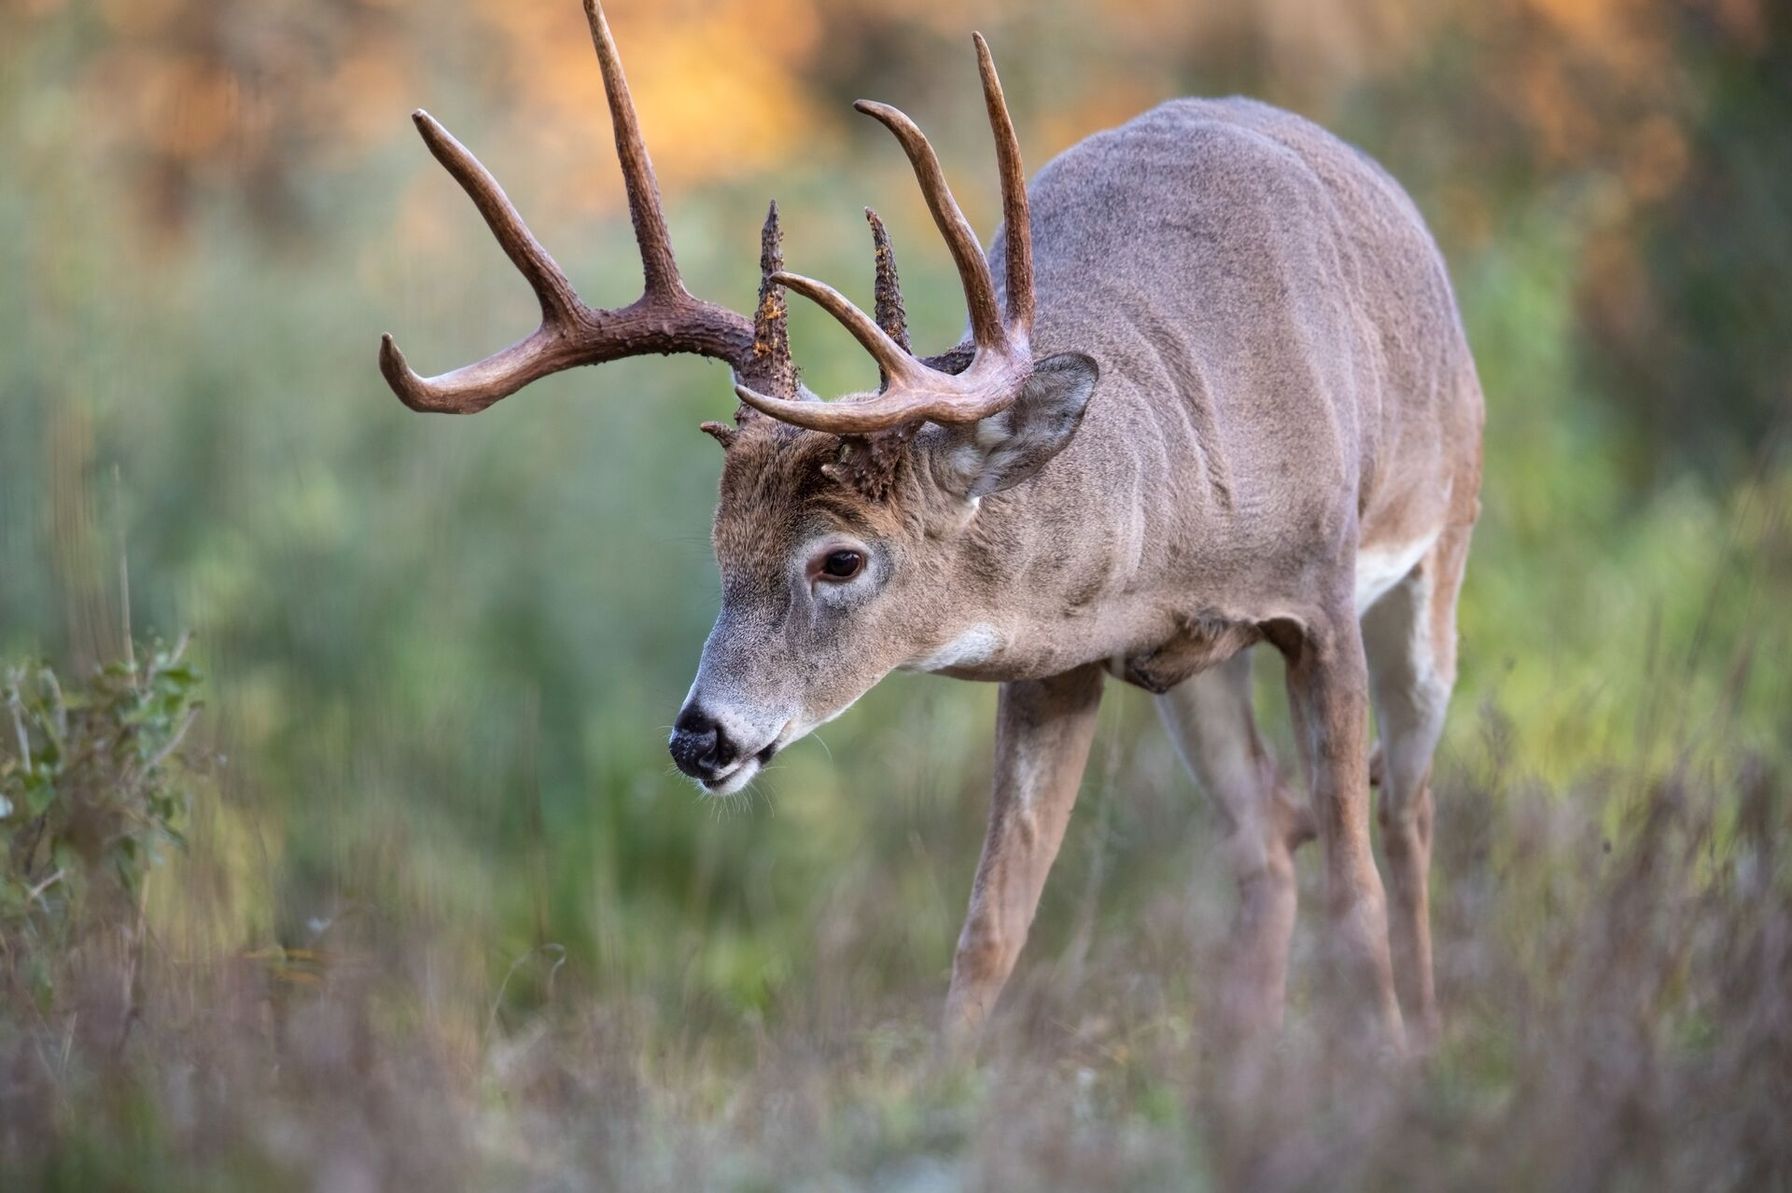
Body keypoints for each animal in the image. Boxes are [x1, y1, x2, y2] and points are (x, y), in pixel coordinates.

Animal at [378, 0, 1483, 1051]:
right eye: (720, 547)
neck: (1171, 507)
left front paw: (1383, 1064)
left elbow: (1356, 893)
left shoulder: (1319, 600)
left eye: (840, 559)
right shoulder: (1062, 662)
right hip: (1195, 678)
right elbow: (991, 924)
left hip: (1441, 549)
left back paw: (1424, 1037)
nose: (699, 737)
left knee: (1405, 806)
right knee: (1267, 836)